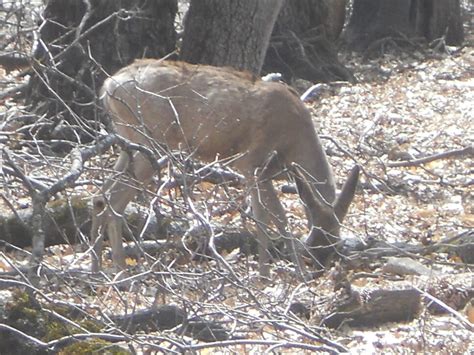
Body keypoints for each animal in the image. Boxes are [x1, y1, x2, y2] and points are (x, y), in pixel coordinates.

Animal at [90, 59, 360, 280]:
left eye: (336, 242)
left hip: (128, 139)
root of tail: (107, 87)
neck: (292, 138)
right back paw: (122, 273)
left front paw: (270, 272)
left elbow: (267, 217)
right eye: (319, 241)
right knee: (114, 200)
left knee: (100, 195)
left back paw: (97, 269)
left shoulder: (262, 171)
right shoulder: (252, 162)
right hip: (150, 140)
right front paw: (283, 274)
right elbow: (273, 218)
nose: (321, 267)